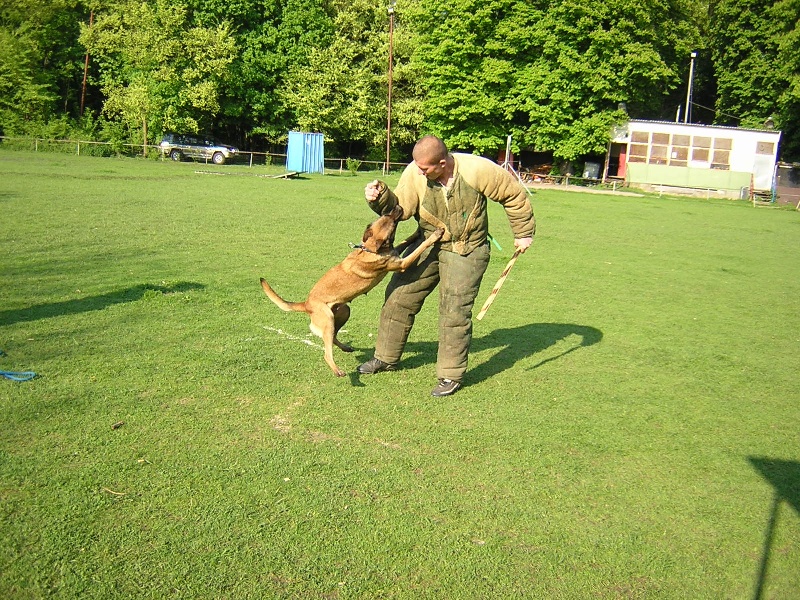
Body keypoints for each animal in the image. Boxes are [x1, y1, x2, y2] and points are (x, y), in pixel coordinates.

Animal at [260, 205, 444, 376]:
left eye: (387, 215)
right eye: (390, 220)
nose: (397, 206)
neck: (371, 248)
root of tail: (306, 304)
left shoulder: (395, 252)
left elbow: (405, 241)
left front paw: (417, 232)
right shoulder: (402, 263)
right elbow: (420, 248)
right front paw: (435, 235)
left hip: (343, 311)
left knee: (333, 337)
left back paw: (346, 348)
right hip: (328, 319)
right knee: (327, 352)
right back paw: (337, 370)